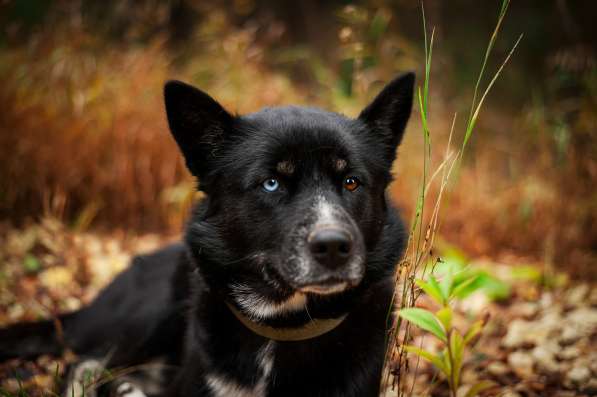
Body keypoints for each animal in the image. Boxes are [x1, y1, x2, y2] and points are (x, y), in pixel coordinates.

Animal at [0, 72, 414, 396]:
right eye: (271, 183)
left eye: (351, 182)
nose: (333, 246)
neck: (281, 325)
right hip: (149, 311)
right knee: (84, 363)